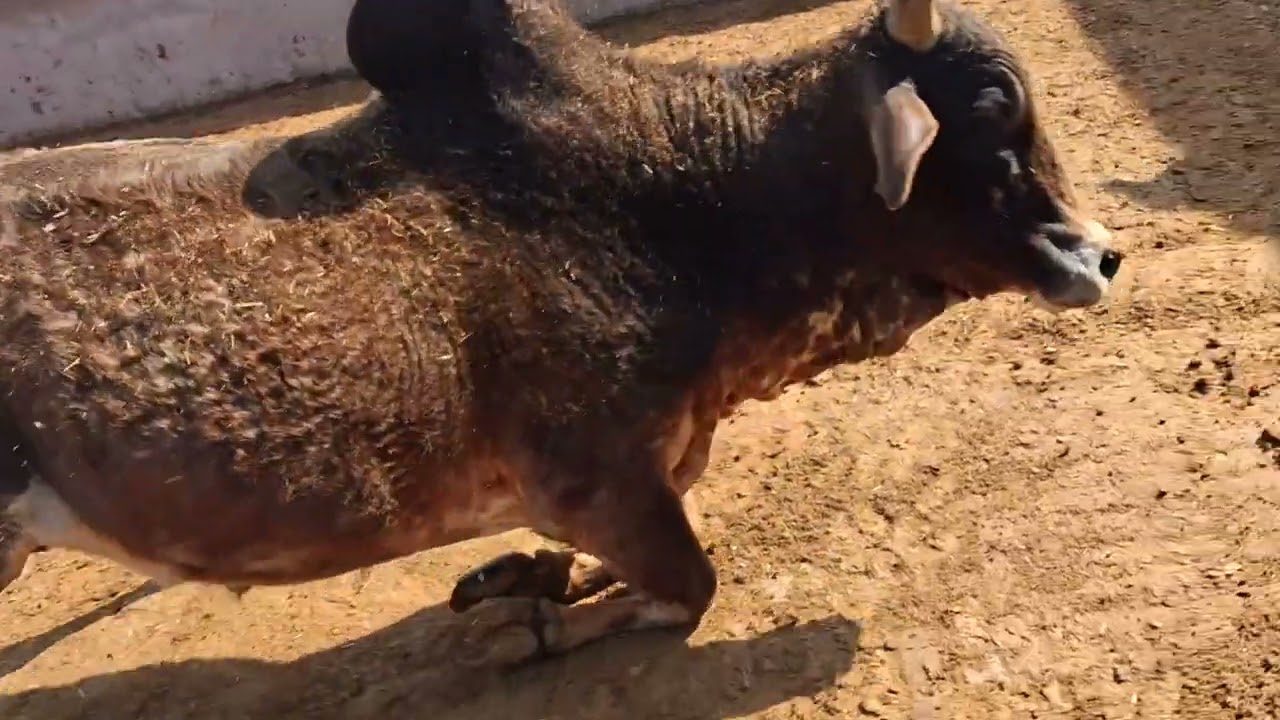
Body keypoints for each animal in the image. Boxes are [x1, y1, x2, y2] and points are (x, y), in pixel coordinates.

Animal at [0, 0, 1122, 667]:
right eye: (993, 110)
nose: (1101, 256)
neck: (691, 199)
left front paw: (525, 581)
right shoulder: (595, 478)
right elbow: (690, 586)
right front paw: (529, 623)